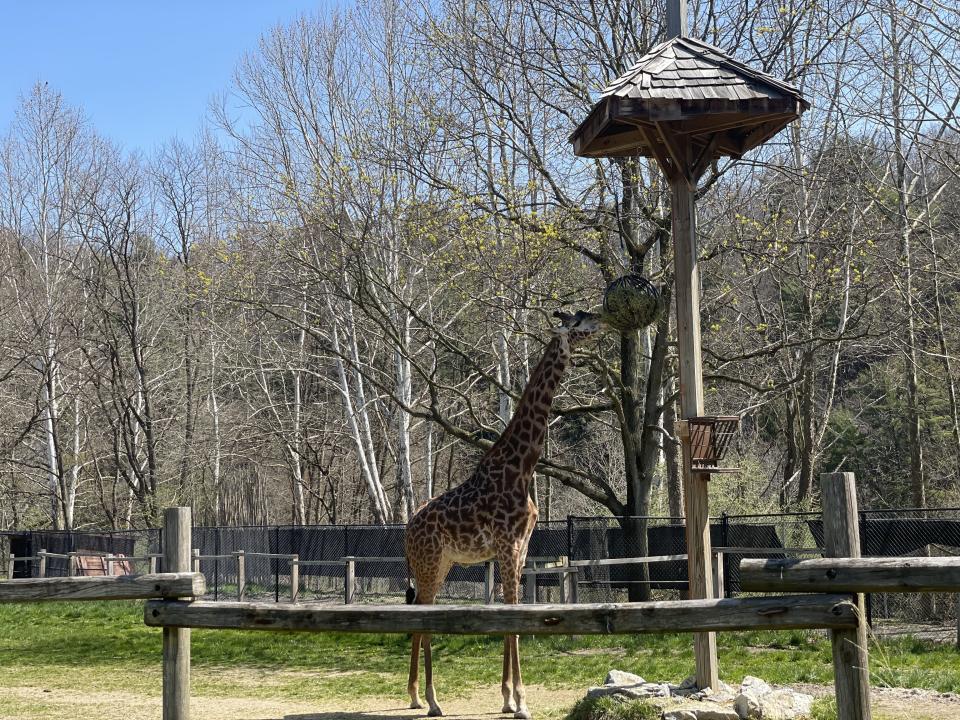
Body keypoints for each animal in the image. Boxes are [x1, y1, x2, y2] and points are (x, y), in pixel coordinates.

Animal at [404, 310, 608, 720]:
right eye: (579, 321)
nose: (602, 320)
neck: (522, 467)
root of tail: (406, 531)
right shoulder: (508, 543)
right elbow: (512, 613)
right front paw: (521, 701)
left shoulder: (522, 546)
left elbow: (511, 611)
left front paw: (507, 697)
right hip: (429, 562)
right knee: (424, 614)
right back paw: (432, 699)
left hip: (441, 563)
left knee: (420, 612)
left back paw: (416, 696)